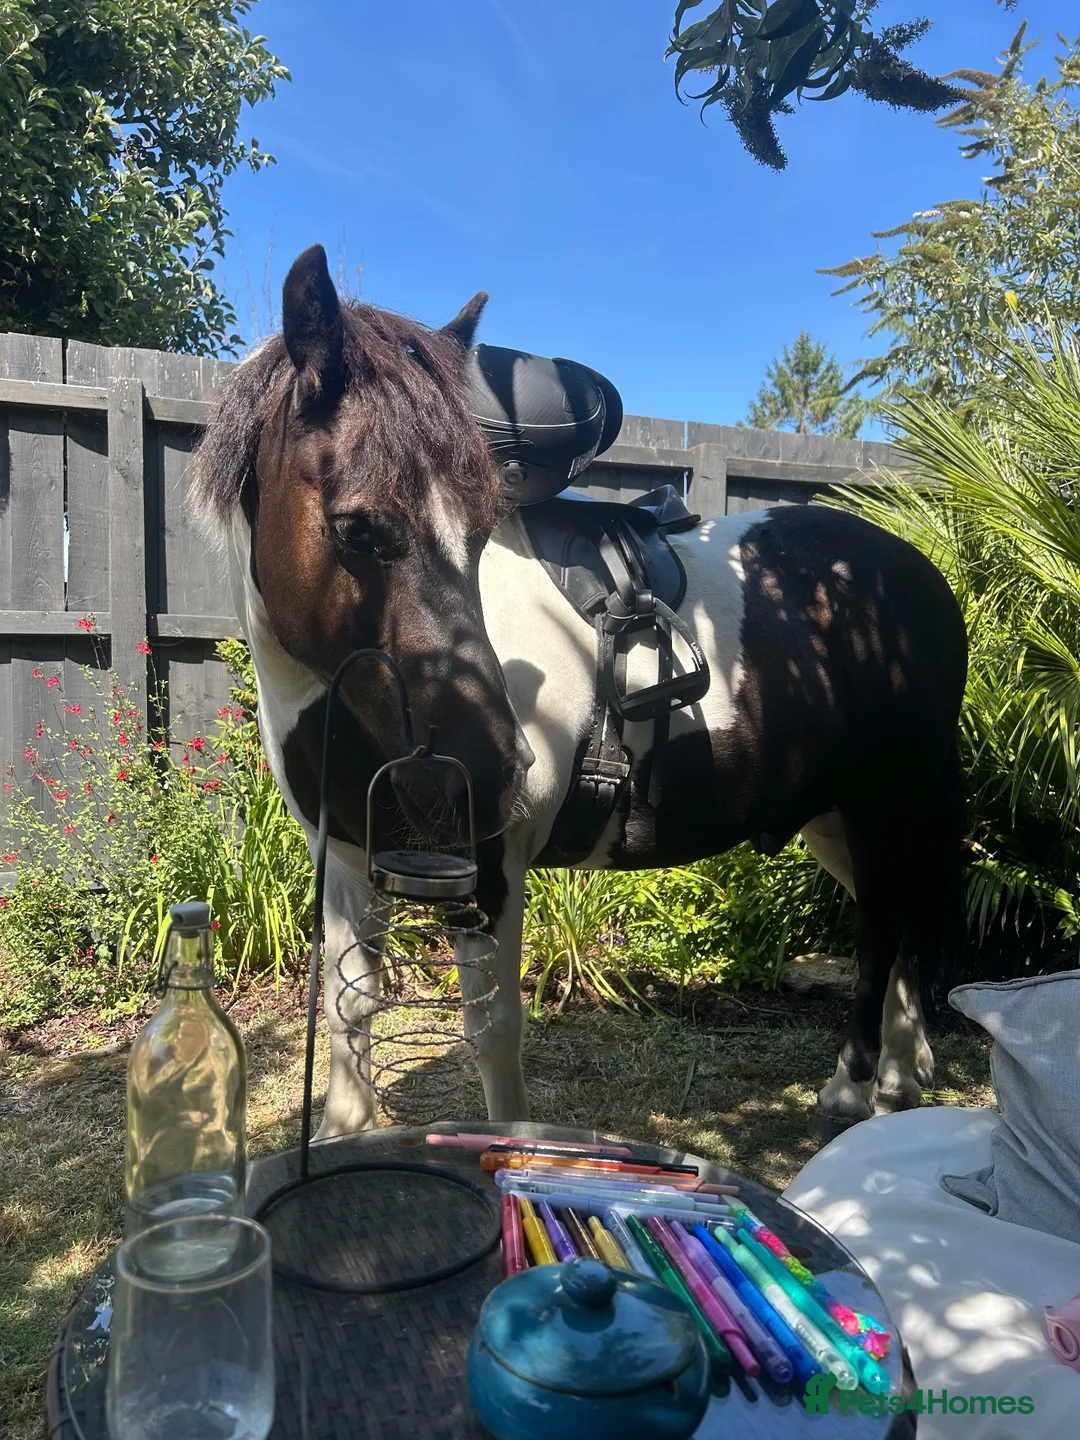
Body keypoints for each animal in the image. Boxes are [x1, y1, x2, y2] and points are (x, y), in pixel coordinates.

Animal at [193, 244, 968, 1140]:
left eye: (481, 528)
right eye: (355, 526)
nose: (497, 770)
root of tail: (917, 576)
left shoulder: (489, 871)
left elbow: (491, 1030)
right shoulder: (349, 864)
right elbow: (351, 1007)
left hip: (882, 805)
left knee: (879, 931)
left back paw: (852, 1087)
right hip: (841, 818)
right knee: (900, 918)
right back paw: (903, 1076)